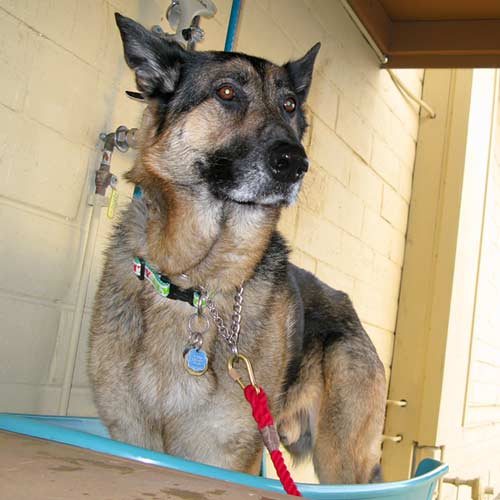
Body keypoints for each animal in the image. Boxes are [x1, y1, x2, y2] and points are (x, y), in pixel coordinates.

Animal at [89, 13, 386, 484]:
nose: (295, 163)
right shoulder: (132, 437)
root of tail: (350, 309)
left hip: (342, 461)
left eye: (289, 105)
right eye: (227, 92)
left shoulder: (223, 455)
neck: (195, 282)